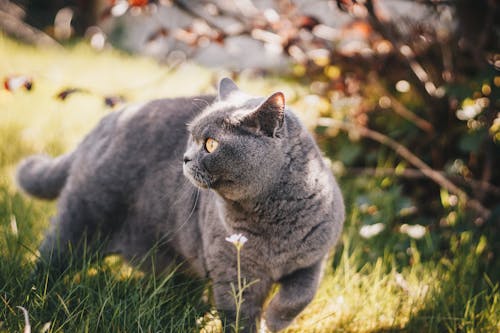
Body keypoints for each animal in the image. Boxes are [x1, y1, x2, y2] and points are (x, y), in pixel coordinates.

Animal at [15, 78, 344, 332]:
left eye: (211, 144)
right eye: (191, 139)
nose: (185, 158)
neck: (272, 222)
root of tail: (110, 119)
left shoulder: (314, 258)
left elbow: (299, 296)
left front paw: (274, 321)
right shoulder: (232, 273)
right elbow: (239, 316)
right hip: (83, 217)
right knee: (53, 254)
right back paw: (33, 294)